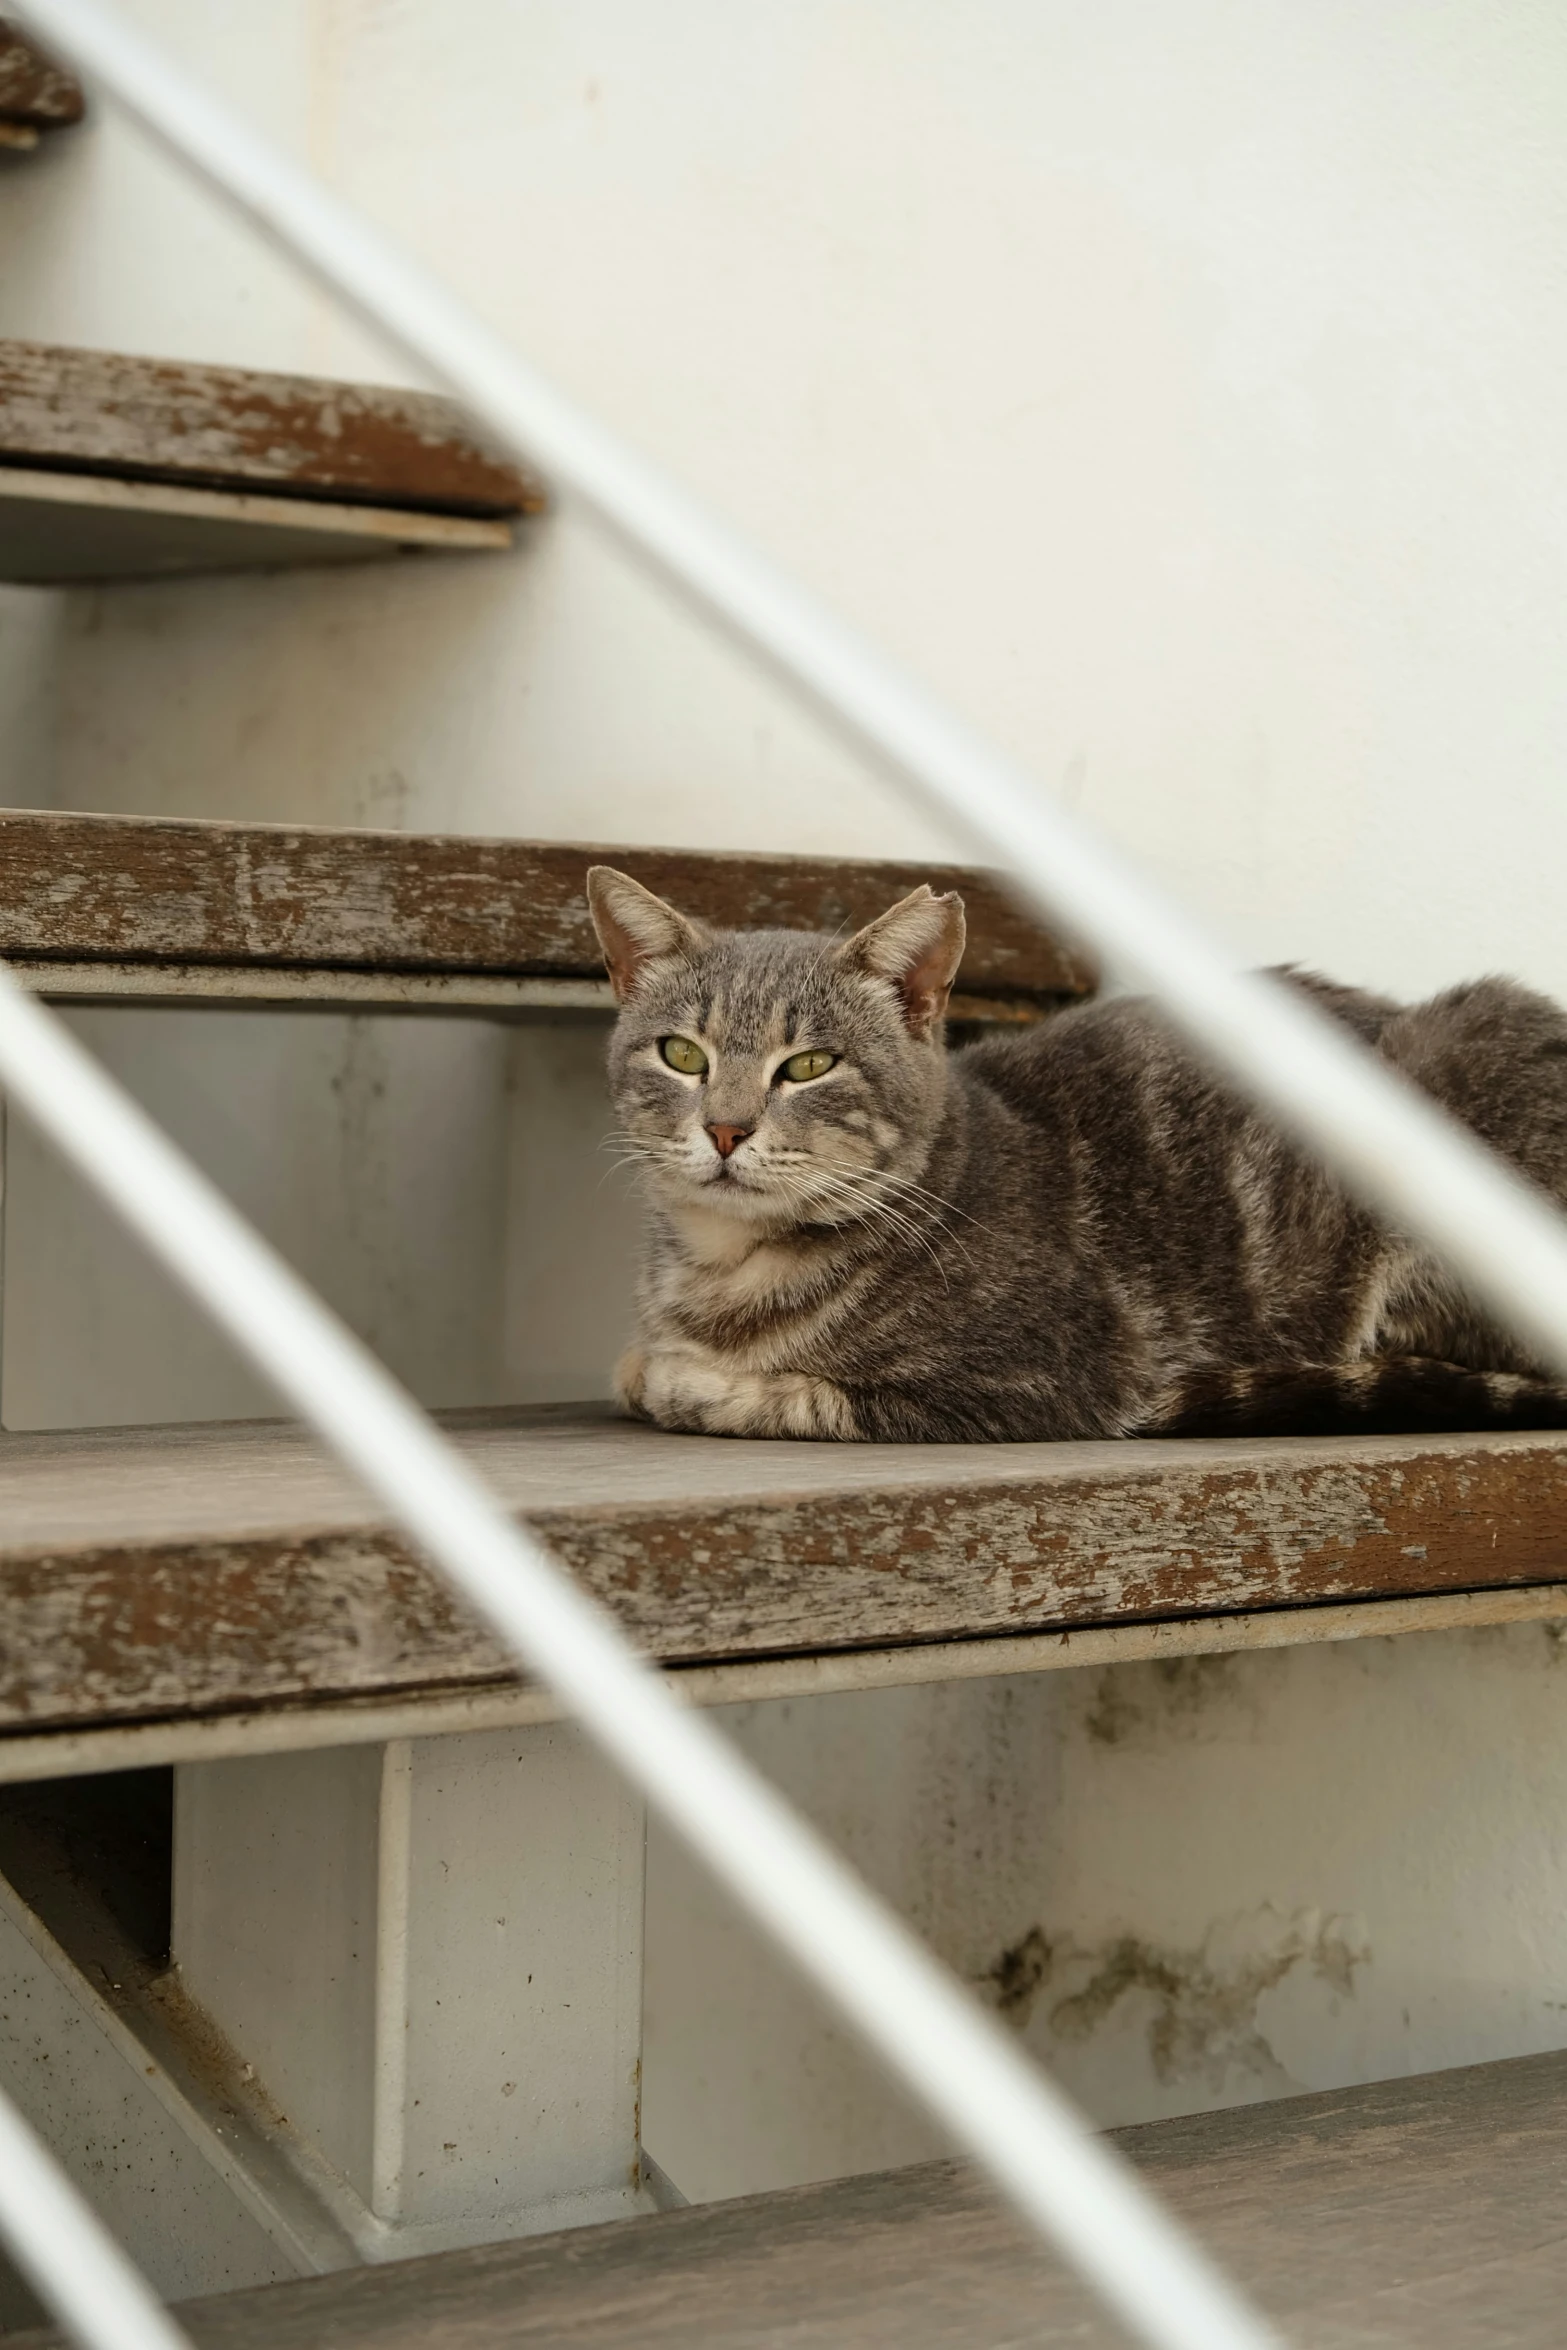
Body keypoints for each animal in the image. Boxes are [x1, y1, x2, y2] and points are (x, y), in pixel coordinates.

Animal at [584, 869, 1567, 1438]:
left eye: (809, 1066)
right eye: (682, 1055)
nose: (725, 1128)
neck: (721, 1267)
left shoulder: (1038, 1380)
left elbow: (776, 1392)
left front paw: (683, 1377)